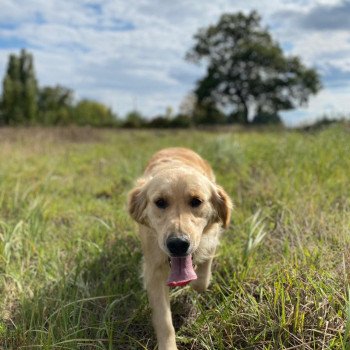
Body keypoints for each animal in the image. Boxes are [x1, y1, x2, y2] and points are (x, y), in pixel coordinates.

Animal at [129, 146, 232, 348]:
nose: (178, 244)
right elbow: (164, 321)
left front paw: (196, 282)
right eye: (160, 202)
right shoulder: (154, 270)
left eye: (196, 201)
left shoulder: (211, 240)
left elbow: (202, 279)